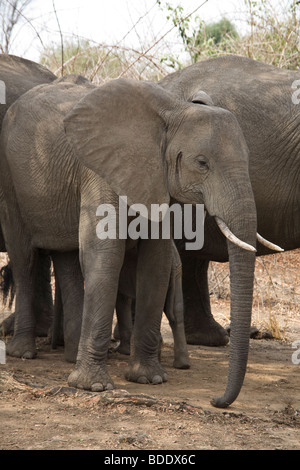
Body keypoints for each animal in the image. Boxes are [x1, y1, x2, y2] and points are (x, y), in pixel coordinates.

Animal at [0, 74, 260, 408]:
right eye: (202, 163)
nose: (216, 400)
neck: (172, 112)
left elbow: (156, 262)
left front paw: (149, 379)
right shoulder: (100, 169)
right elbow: (105, 256)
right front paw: (93, 386)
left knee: (68, 258)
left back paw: (70, 357)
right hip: (10, 178)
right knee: (24, 260)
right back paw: (24, 352)